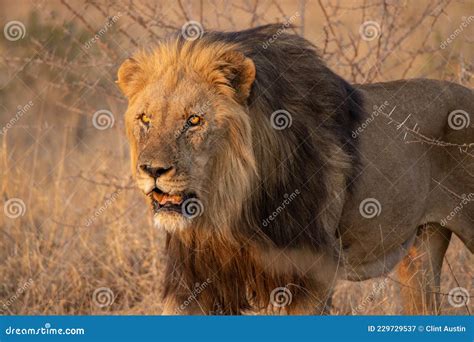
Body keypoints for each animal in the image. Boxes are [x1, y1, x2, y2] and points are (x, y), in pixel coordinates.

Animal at [116, 24, 472, 316]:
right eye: (145, 119)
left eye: (194, 121)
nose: (152, 170)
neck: (227, 206)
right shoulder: (194, 280)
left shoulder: (311, 275)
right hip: (421, 249)